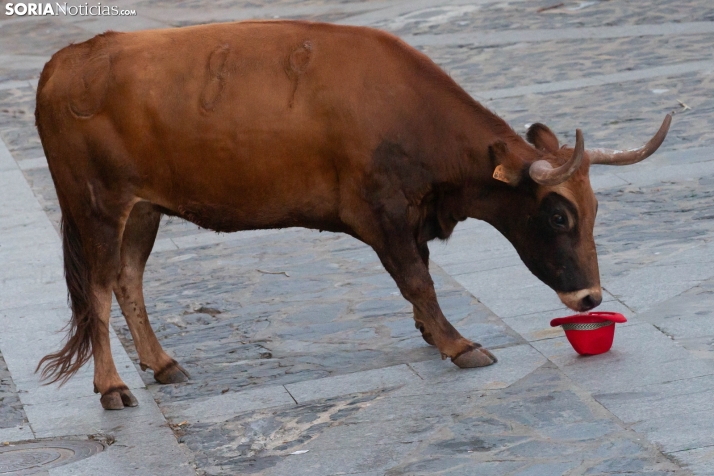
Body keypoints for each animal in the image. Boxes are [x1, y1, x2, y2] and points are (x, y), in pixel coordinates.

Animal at [32, 20, 668, 410]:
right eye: (559, 217)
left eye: (595, 209)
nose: (590, 297)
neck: (408, 110)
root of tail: (66, 60)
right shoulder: (383, 216)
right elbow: (418, 279)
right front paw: (458, 344)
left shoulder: (410, 216)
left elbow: (422, 277)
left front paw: (430, 333)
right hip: (97, 208)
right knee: (97, 289)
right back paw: (113, 386)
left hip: (143, 210)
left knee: (127, 279)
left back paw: (163, 364)